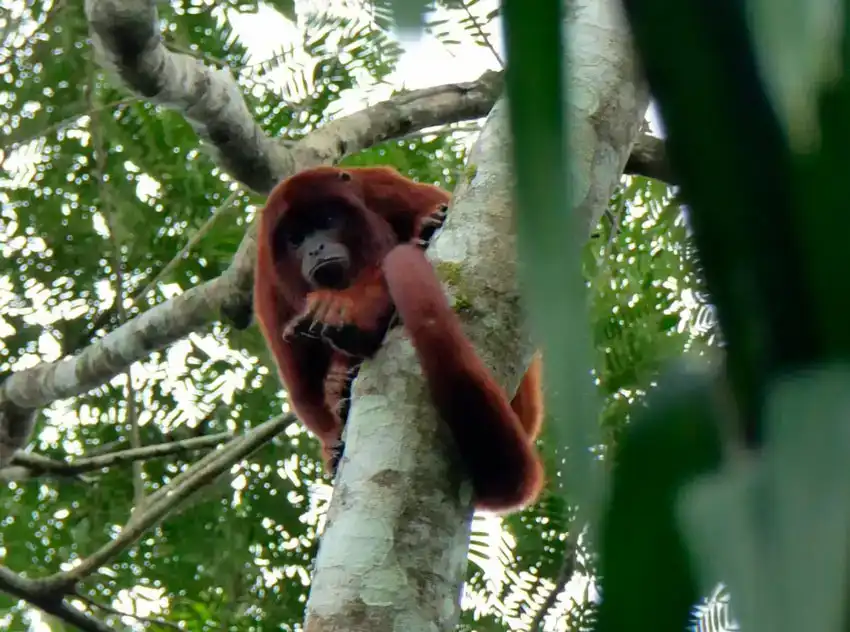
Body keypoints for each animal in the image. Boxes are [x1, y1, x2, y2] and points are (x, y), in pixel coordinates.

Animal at [252, 165, 544, 512]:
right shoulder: (267, 280)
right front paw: (333, 438)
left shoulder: (385, 187)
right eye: (295, 239)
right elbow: (303, 389)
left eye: (327, 221)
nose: (316, 248)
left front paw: (340, 306)